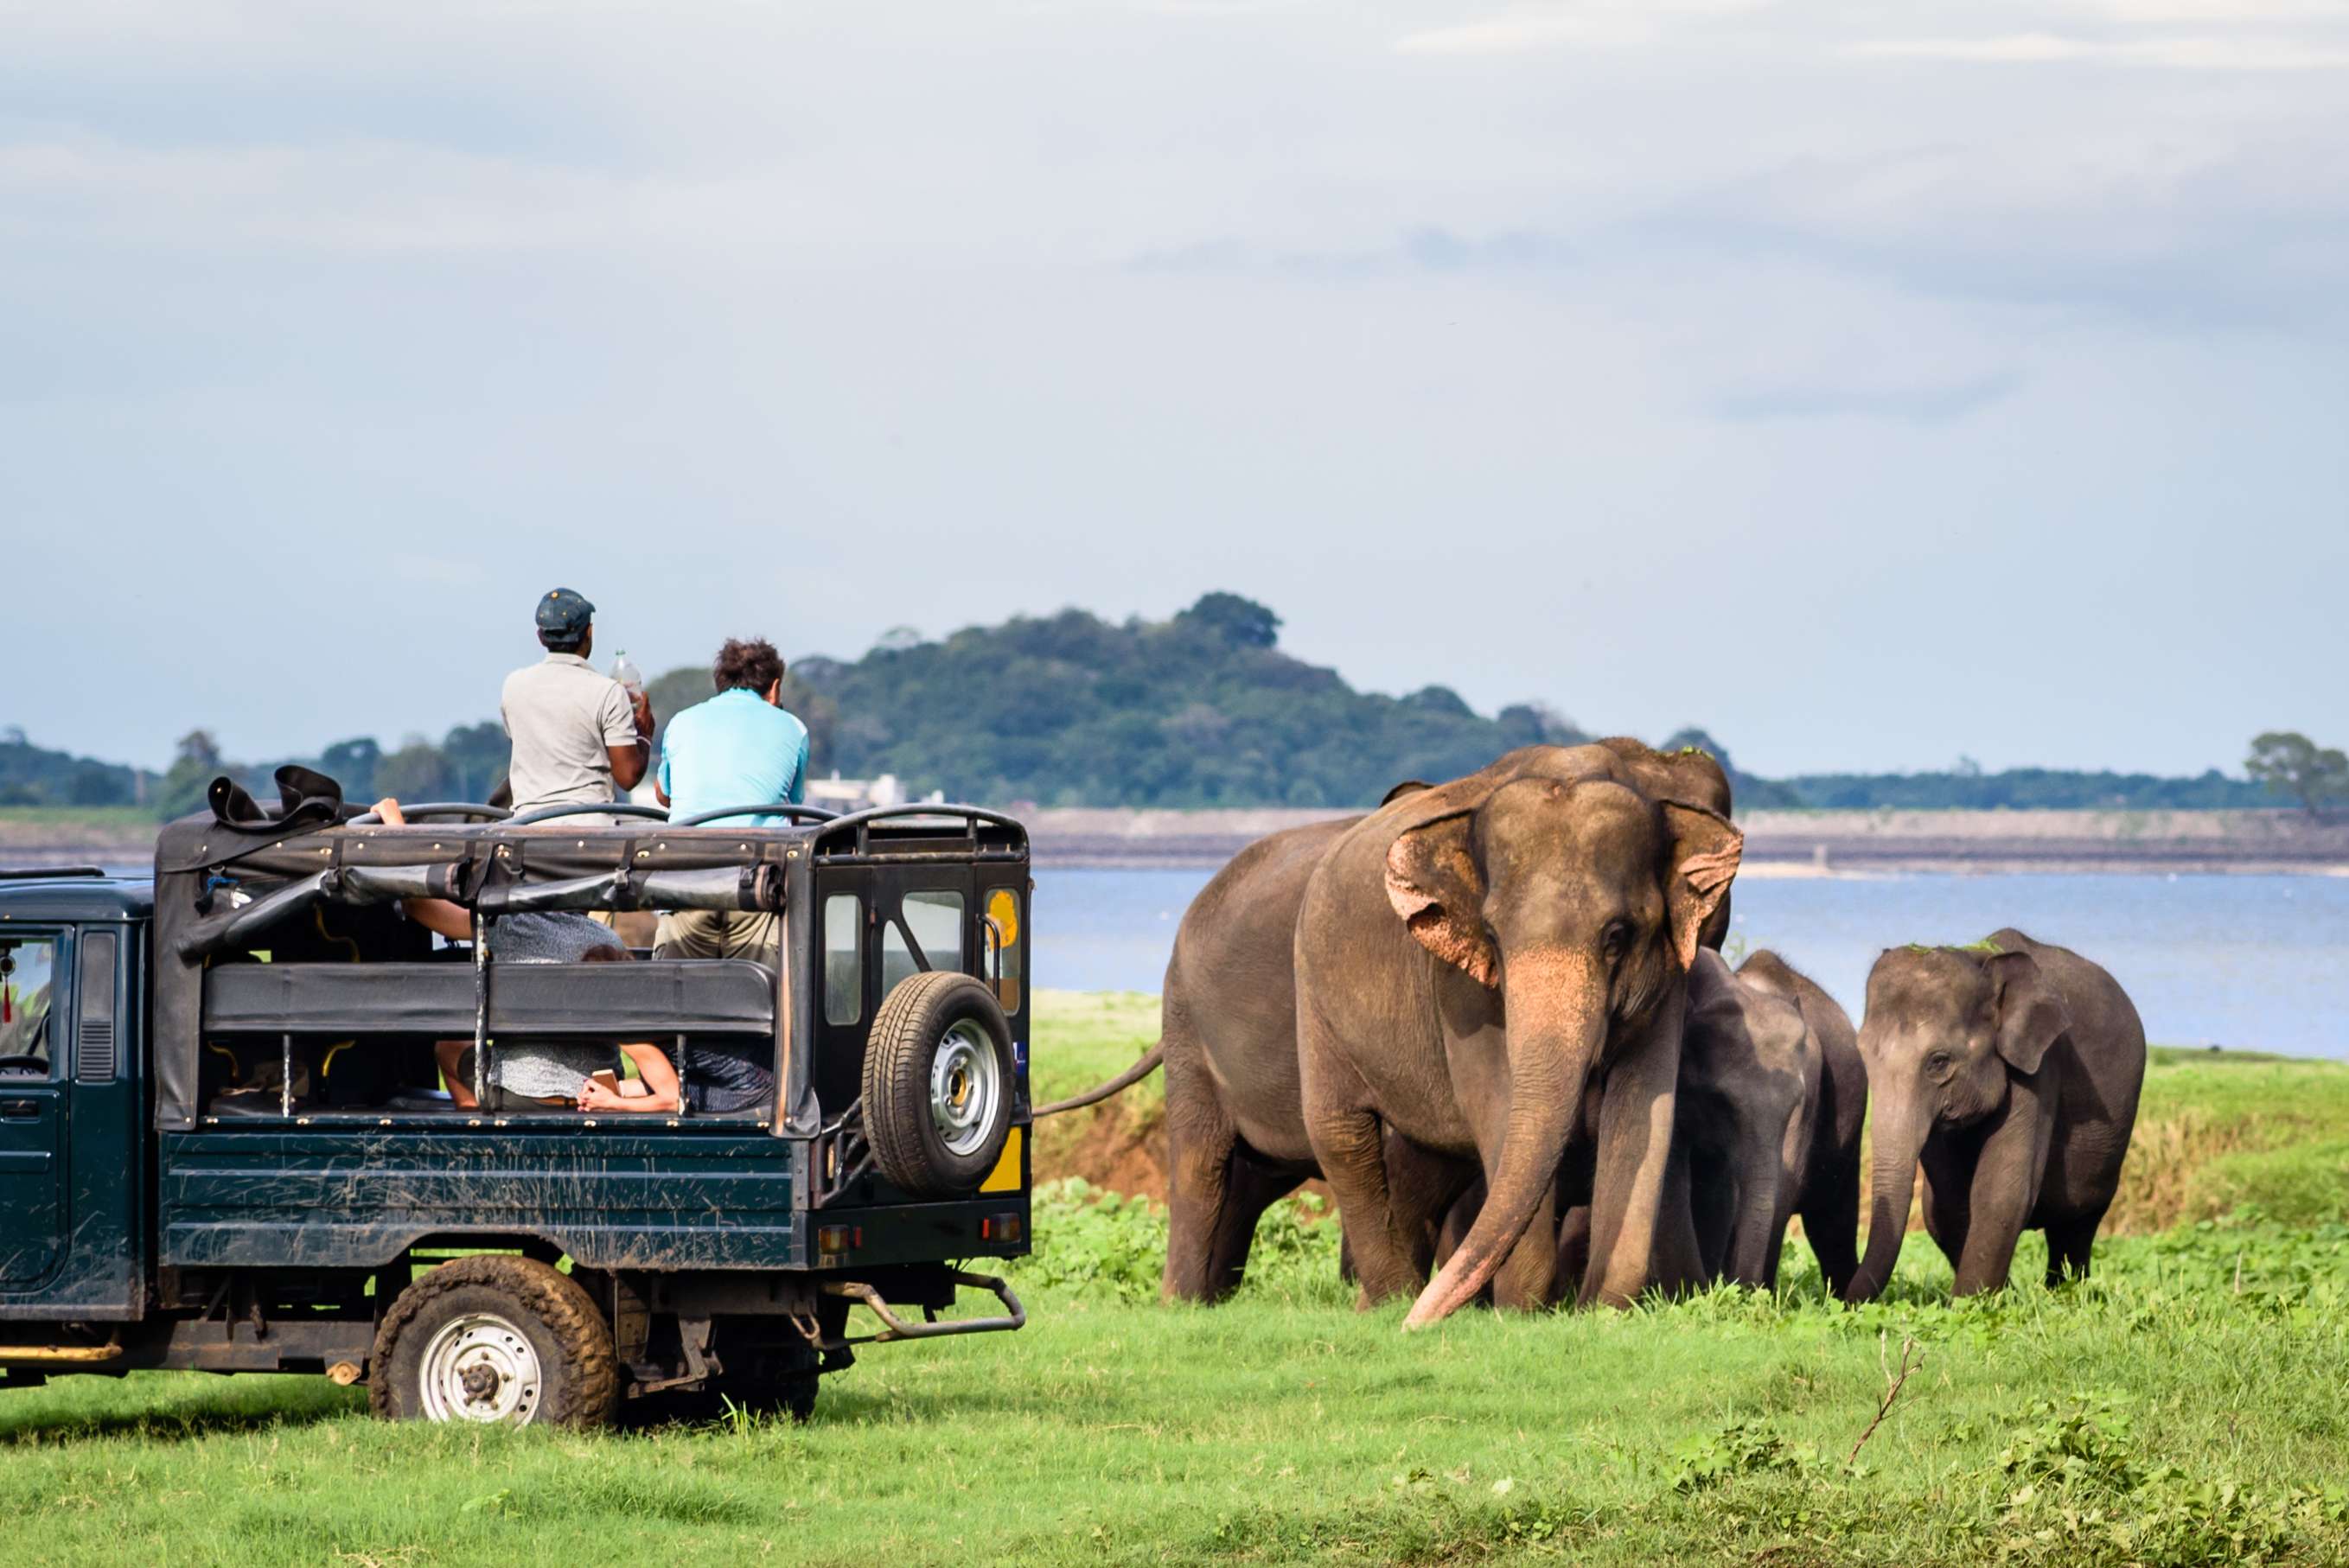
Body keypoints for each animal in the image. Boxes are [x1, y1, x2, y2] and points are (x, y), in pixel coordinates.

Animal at [1151, 741, 1735, 1312]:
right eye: (1493, 935)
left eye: (1617, 936)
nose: (1422, 1323)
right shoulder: (1458, 984)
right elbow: (1496, 1104)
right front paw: (1521, 1311)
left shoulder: (1671, 972)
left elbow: (1645, 1110)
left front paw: (1601, 1310)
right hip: (1268, 1002)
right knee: (1305, 1140)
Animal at [1842, 929, 2145, 1302]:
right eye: (1863, 1055)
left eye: (1939, 1061)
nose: (1841, 1301)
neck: (1981, 959)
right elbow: (1948, 1203)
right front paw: (1993, 1300)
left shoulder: (2040, 1064)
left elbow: (2001, 1189)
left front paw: (1968, 1305)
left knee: (2078, 1223)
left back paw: (2065, 1294)